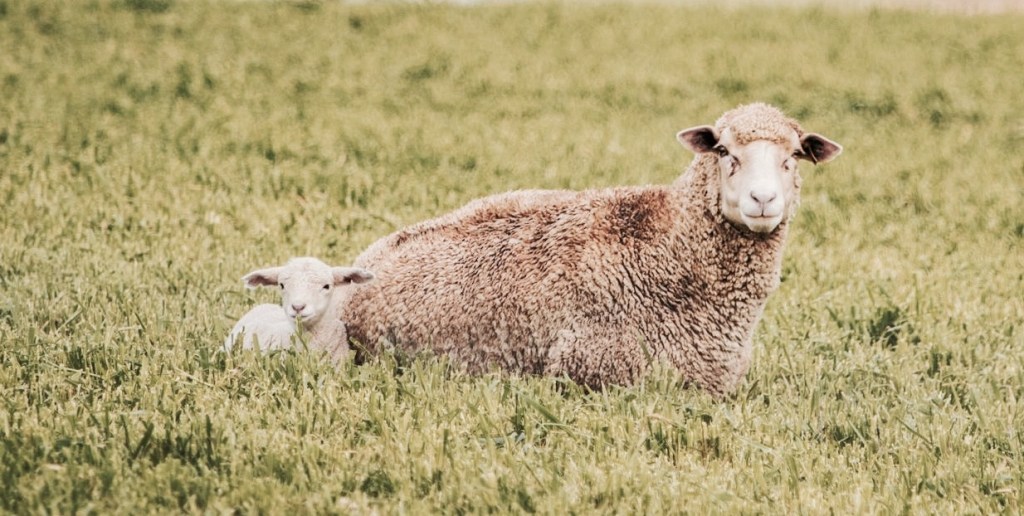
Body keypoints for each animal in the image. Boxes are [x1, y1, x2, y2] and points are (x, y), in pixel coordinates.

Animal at [340, 103, 842, 398]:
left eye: (793, 157)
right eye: (723, 151)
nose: (763, 200)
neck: (669, 249)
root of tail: (367, 259)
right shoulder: (595, 370)